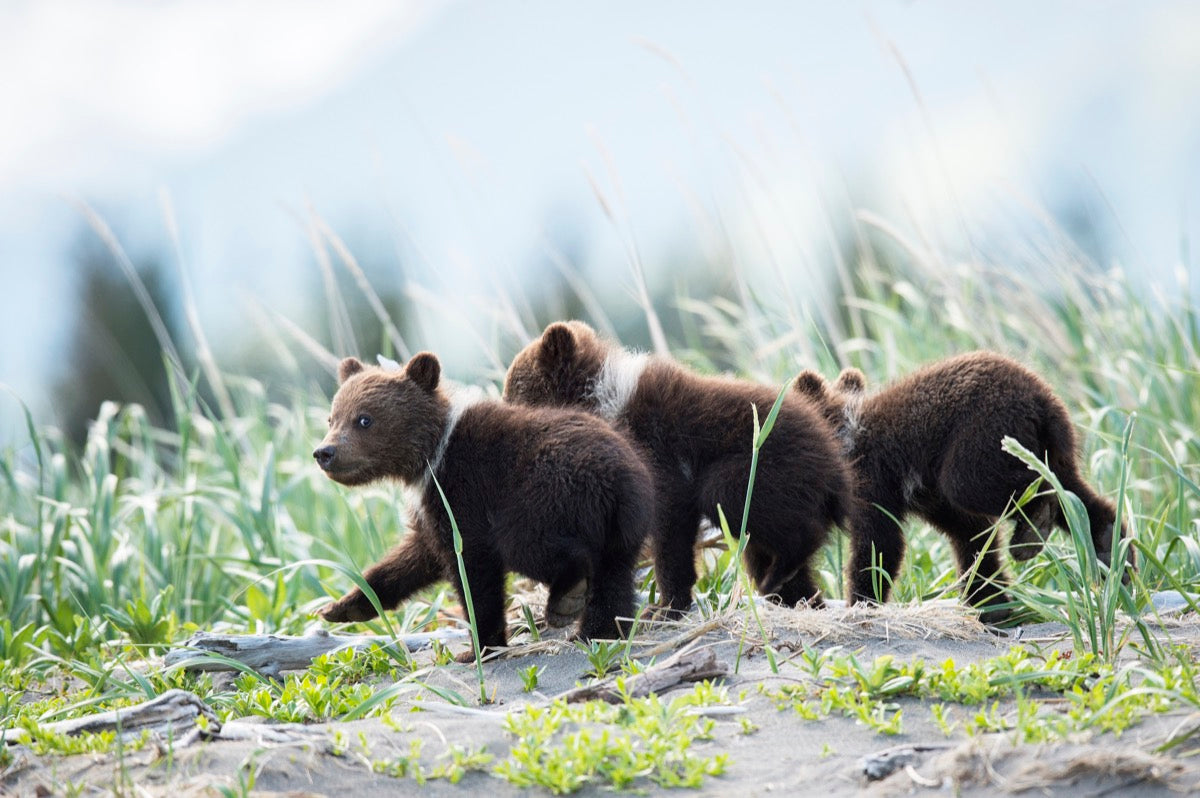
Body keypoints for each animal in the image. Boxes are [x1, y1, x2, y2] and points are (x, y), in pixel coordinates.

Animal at [314, 352, 653, 660]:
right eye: (332, 417)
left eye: (364, 419)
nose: (324, 452)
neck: (429, 458)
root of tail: (615, 479)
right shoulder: (432, 511)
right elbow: (412, 559)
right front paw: (342, 607)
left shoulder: (463, 492)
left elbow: (473, 570)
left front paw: (479, 646)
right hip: (627, 522)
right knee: (614, 575)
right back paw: (598, 630)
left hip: (542, 497)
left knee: (539, 549)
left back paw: (567, 599)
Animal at [503, 320, 853, 615]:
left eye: (511, 392)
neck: (603, 402)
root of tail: (835, 464)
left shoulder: (658, 451)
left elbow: (671, 525)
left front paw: (667, 604)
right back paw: (791, 591)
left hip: (769, 465)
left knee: (735, 497)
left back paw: (782, 569)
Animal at [793, 351, 1124, 623]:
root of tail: (1043, 400)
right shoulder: (928, 496)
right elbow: (971, 535)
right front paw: (991, 602)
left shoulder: (873, 481)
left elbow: (878, 543)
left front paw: (862, 601)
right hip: (1051, 446)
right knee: (1077, 497)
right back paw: (1112, 549)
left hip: (982, 433)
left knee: (978, 485)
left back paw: (1031, 533)